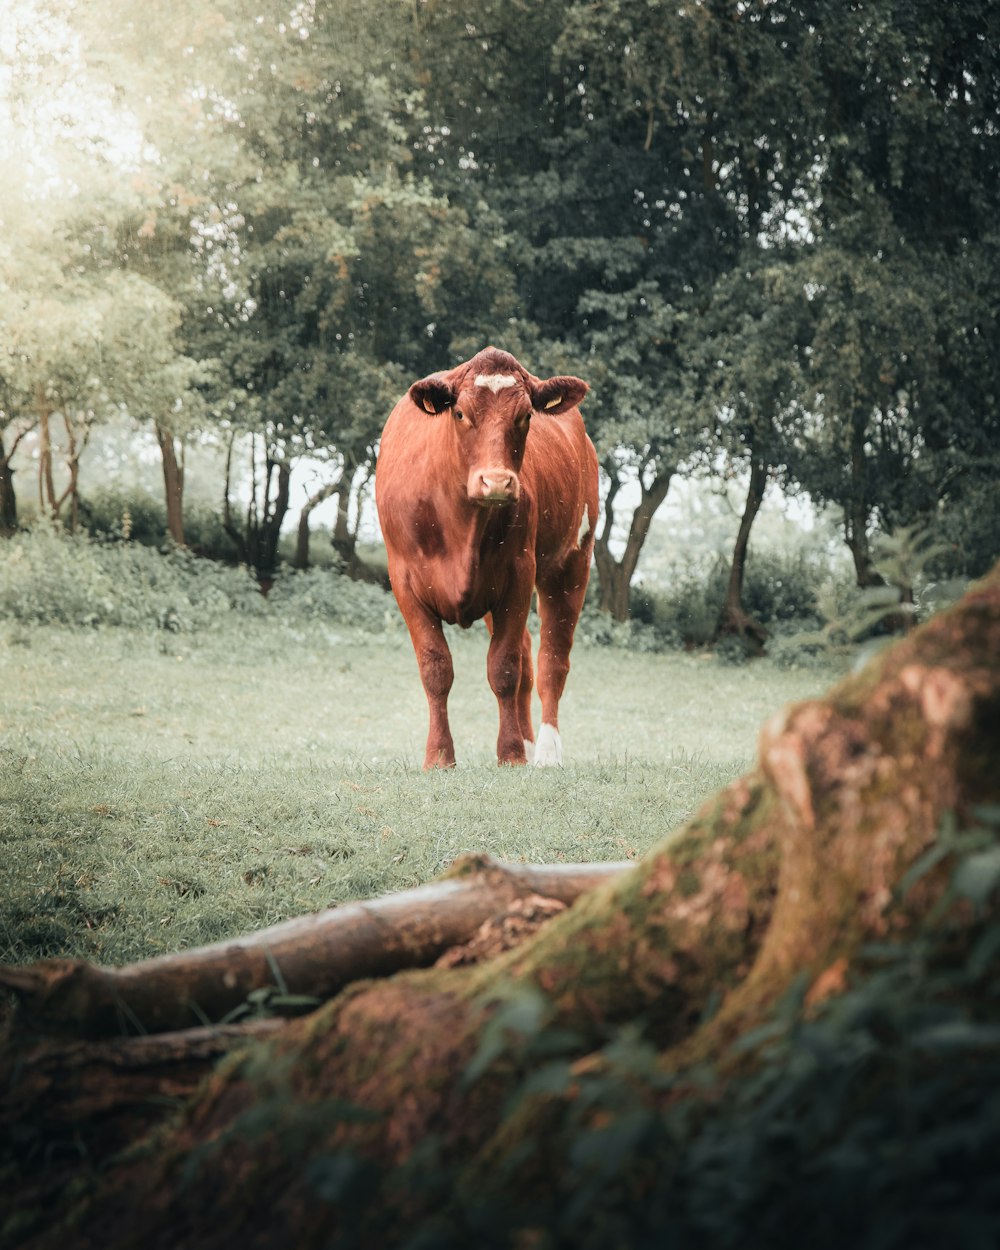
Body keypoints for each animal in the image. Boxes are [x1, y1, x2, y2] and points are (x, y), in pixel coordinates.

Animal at [372, 347, 595, 765]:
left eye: (526, 416)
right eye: (460, 413)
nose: (497, 482)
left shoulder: (519, 575)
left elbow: (504, 667)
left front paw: (511, 754)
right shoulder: (404, 581)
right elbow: (436, 668)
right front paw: (439, 756)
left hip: (572, 561)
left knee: (551, 661)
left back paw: (545, 750)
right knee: (528, 653)